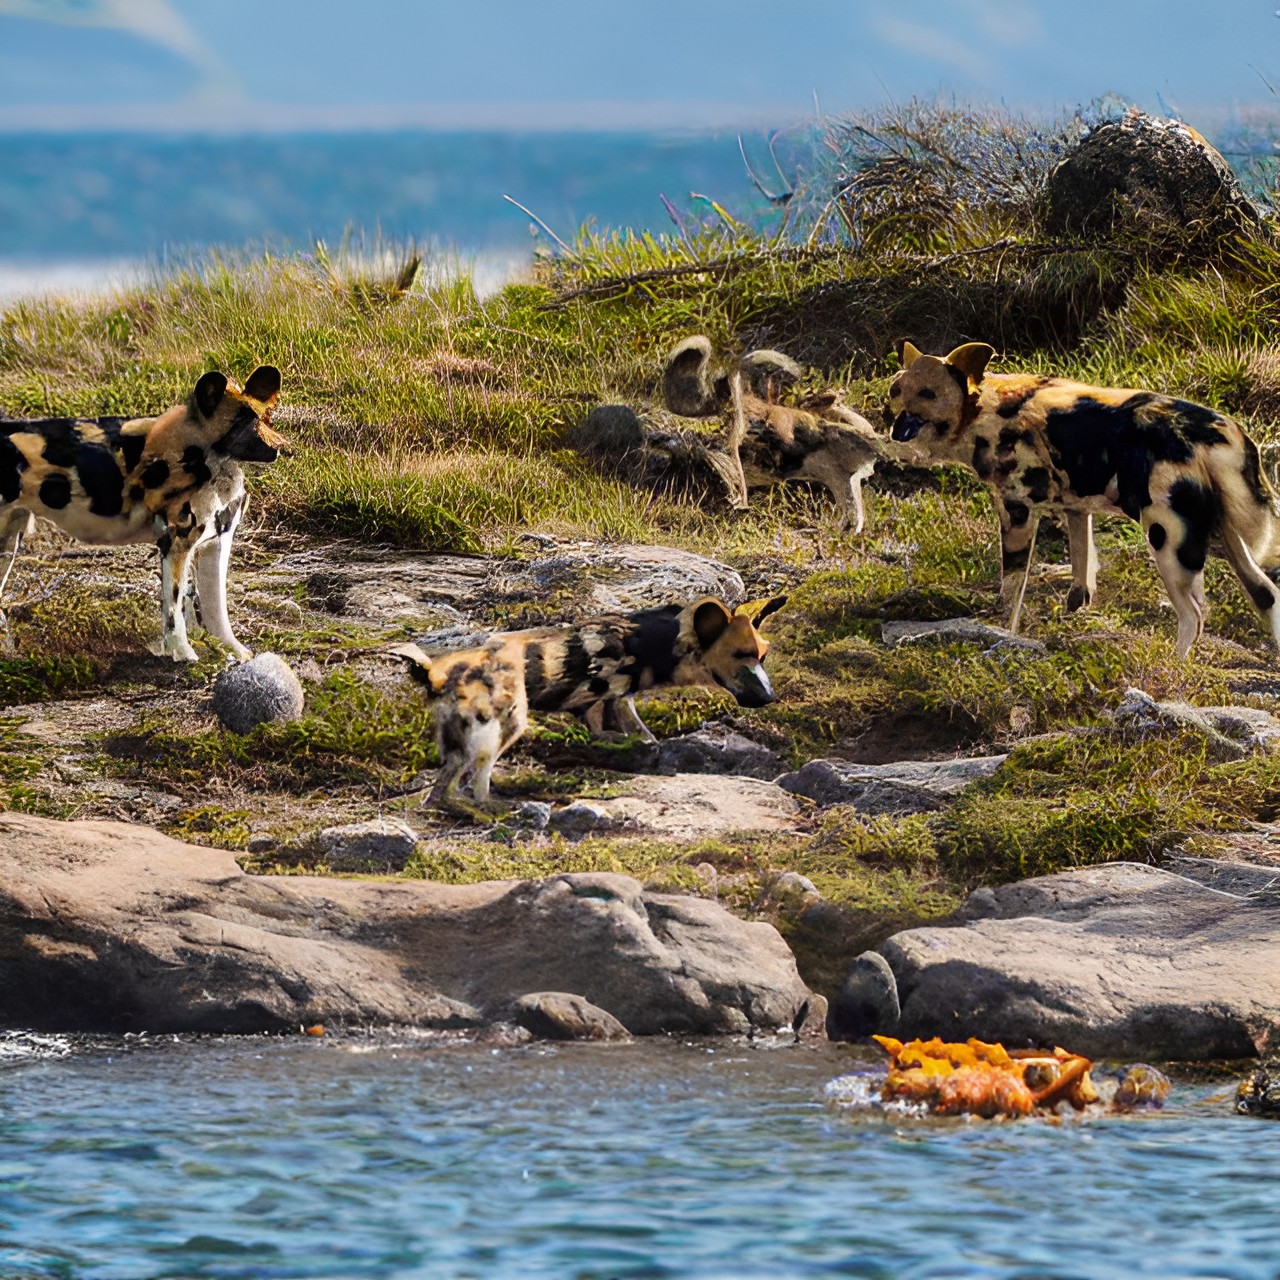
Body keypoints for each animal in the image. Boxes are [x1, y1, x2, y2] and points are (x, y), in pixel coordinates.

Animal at [0, 360, 282, 660]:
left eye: (265, 419)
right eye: (240, 424)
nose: (281, 446)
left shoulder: (215, 543)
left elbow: (216, 609)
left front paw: (233, 651)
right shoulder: (176, 543)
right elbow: (174, 606)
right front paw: (182, 654)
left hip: (9, 538)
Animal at [885, 337, 1280, 655]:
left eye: (928, 394)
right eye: (896, 389)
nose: (894, 425)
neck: (982, 409)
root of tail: (1219, 430)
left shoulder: (1018, 511)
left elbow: (1010, 592)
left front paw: (1001, 634)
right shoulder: (1077, 509)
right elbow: (1081, 574)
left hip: (1170, 542)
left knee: (1193, 616)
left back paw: (1173, 667)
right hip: (1222, 539)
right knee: (1266, 593)